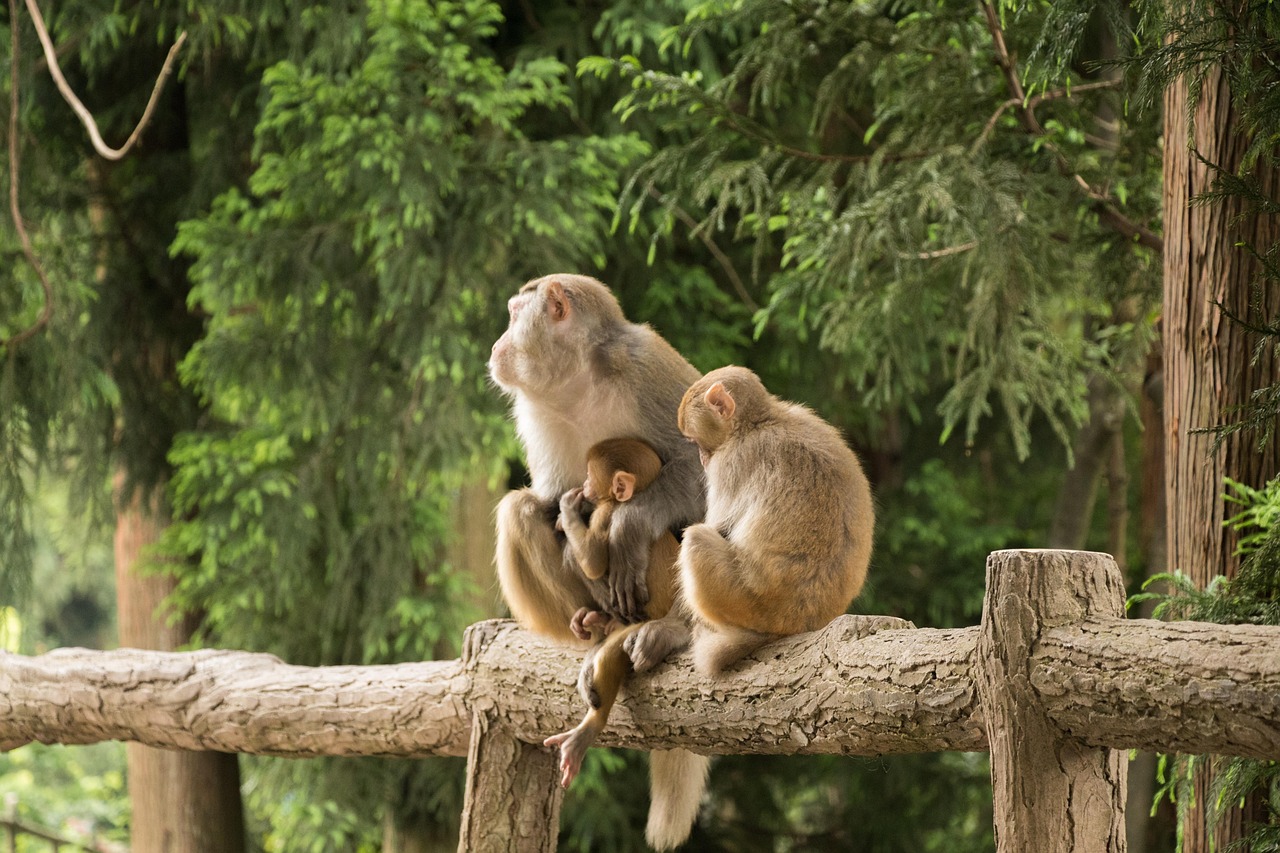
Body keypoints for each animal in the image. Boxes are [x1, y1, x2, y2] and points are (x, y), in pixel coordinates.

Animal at [544, 438, 678, 789]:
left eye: (591, 475)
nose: (585, 485)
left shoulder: (606, 513)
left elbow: (593, 561)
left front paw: (568, 510)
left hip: (641, 626)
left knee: (608, 657)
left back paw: (589, 727)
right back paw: (597, 621)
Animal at [624, 365, 874, 677]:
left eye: (694, 440)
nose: (702, 458)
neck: (759, 423)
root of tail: (801, 621)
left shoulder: (730, 464)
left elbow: (719, 527)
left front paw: (667, 629)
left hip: (747, 600)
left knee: (697, 540)